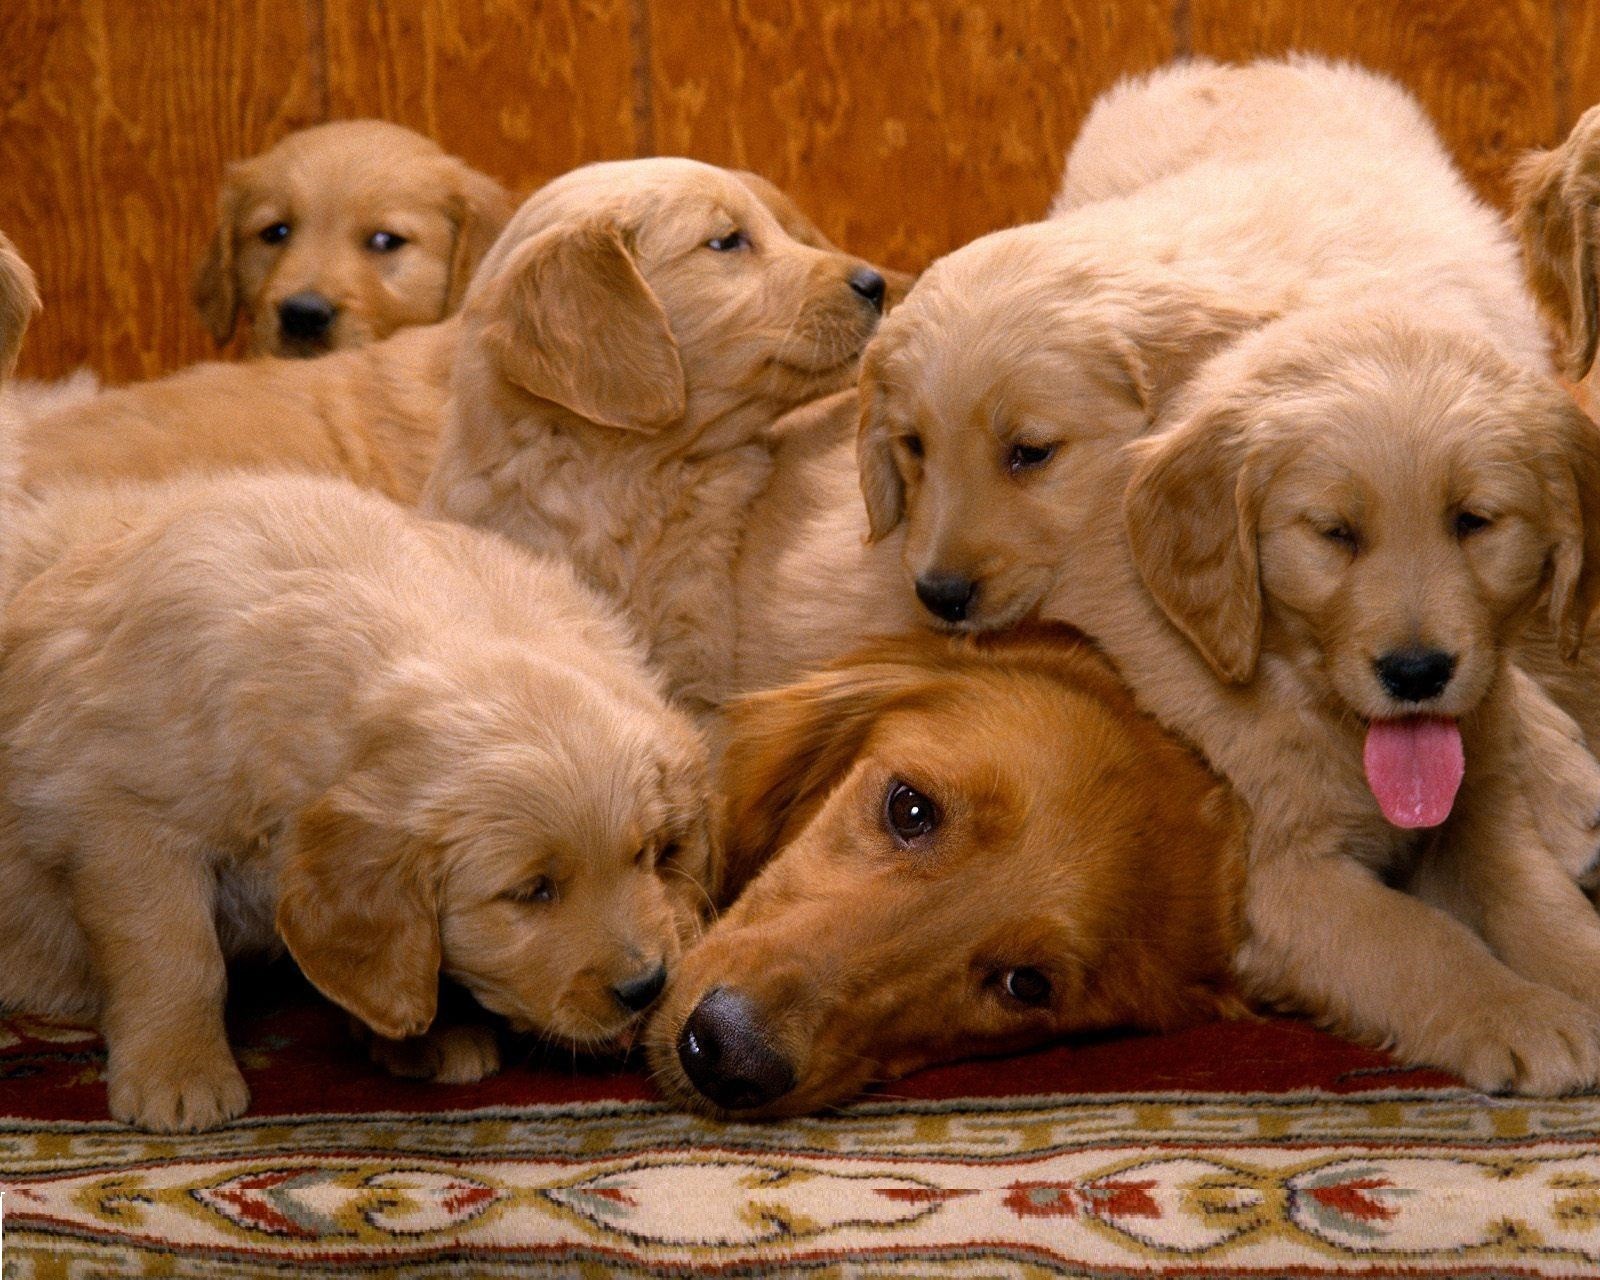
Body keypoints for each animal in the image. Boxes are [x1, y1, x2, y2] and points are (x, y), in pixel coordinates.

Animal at [0, 473, 713, 1132]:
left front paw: (425, 1033)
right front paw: (178, 1071)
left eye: (646, 855)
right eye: (532, 892)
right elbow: (172, 950)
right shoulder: (122, 813)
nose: (647, 986)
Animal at [864, 60, 1600, 1094]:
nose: (937, 597)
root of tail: (1239, 67)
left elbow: (1526, 889)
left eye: (1029, 454)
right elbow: (1413, 939)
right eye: (913, 451)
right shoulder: (1273, 883)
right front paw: (1517, 1014)